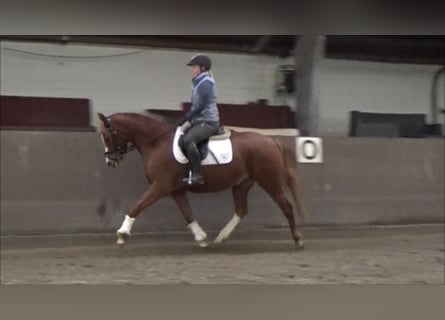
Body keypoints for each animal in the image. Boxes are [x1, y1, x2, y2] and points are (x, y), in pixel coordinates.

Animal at [96, 111, 306, 249]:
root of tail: (271, 140)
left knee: (286, 206)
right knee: (241, 210)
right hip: (242, 183)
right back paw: (221, 237)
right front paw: (201, 237)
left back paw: (298, 239)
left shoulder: (160, 186)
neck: (156, 142)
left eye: (106, 135)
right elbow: (187, 213)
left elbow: (136, 206)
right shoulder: (175, 191)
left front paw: (122, 234)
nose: (110, 161)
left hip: (269, 181)